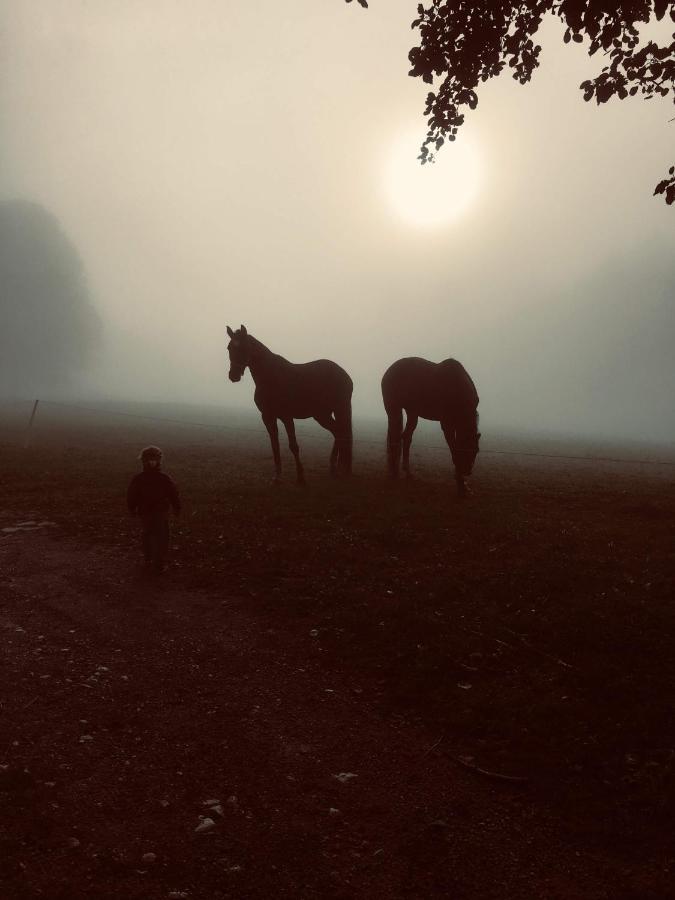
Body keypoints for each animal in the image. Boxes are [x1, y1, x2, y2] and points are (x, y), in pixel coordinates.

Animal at [227, 326, 354, 486]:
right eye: (229, 348)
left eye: (244, 347)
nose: (233, 376)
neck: (270, 376)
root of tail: (344, 375)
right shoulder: (268, 417)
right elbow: (275, 446)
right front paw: (277, 477)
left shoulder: (286, 417)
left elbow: (293, 446)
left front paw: (300, 477)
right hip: (322, 415)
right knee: (338, 432)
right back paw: (333, 468)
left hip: (339, 409)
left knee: (341, 433)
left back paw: (338, 469)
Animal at [380, 356, 480, 496]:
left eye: (476, 450)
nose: (467, 471)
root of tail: (388, 372)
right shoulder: (447, 425)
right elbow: (454, 451)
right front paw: (461, 487)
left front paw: (463, 485)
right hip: (394, 410)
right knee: (395, 438)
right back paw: (394, 473)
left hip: (412, 412)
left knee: (406, 437)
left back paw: (407, 472)